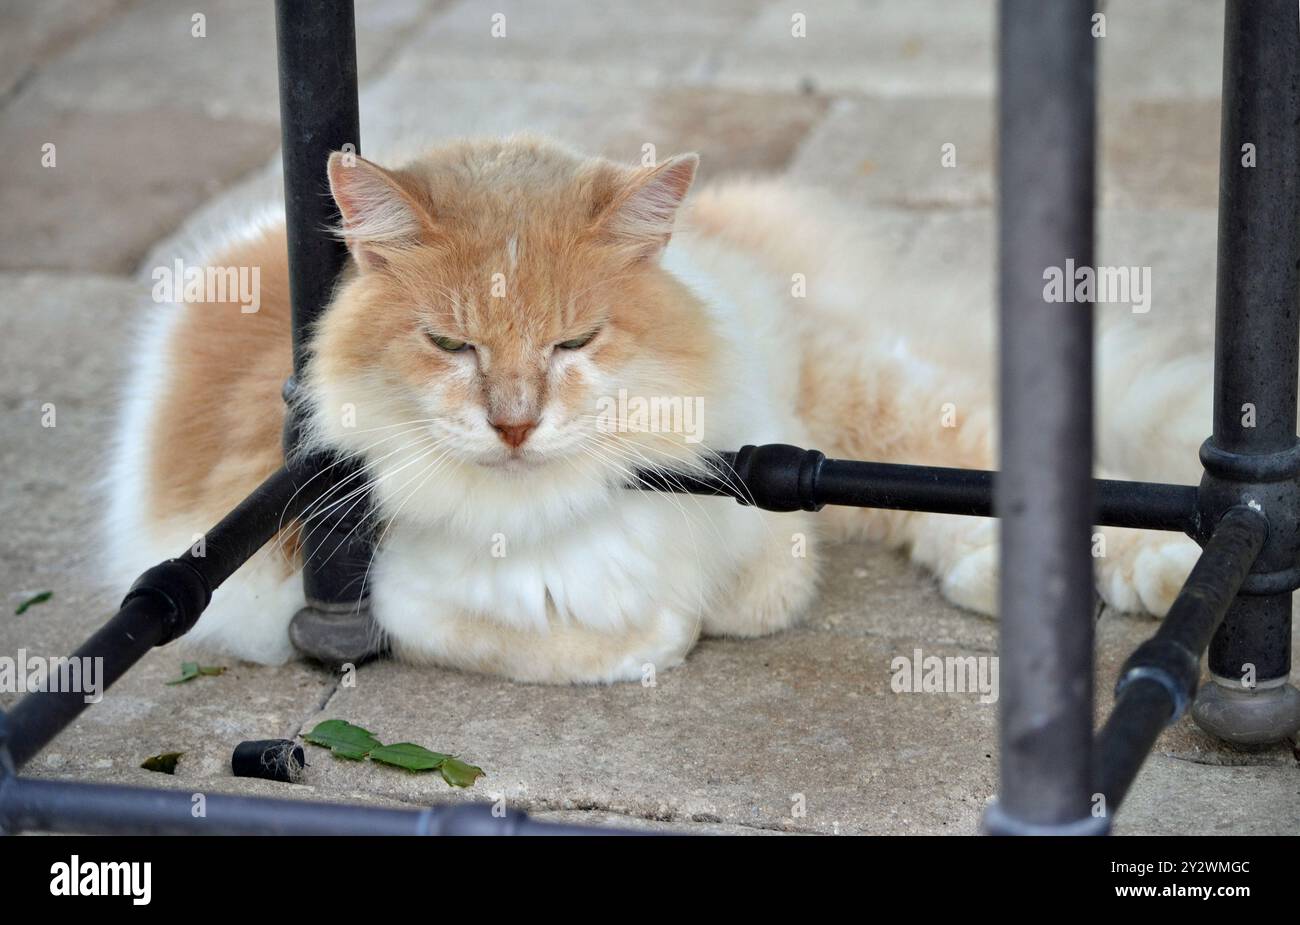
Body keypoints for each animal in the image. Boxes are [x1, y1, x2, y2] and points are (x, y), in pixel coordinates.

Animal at [106, 139, 1201, 685]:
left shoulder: (767, 477)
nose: (513, 424)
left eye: (573, 343)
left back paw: (1140, 572)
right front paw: (679, 625)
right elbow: (635, 635)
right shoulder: (352, 598)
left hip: (855, 398)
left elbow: (764, 584)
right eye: (451, 346)